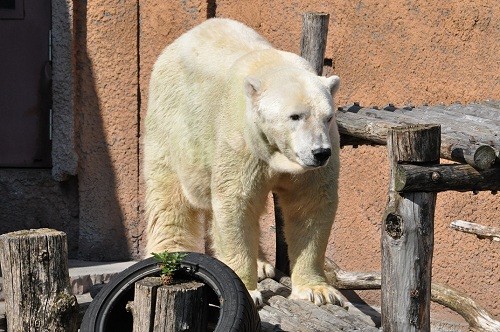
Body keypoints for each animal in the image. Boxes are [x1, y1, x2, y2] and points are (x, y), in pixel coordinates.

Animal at [143, 17, 342, 306]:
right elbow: (236, 201)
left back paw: (261, 264)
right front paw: (248, 290)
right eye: (295, 116)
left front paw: (318, 292)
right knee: (168, 192)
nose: (320, 152)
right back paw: (169, 252)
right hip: (170, 119)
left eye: (328, 117)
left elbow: (310, 204)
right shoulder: (241, 138)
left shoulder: (311, 162)